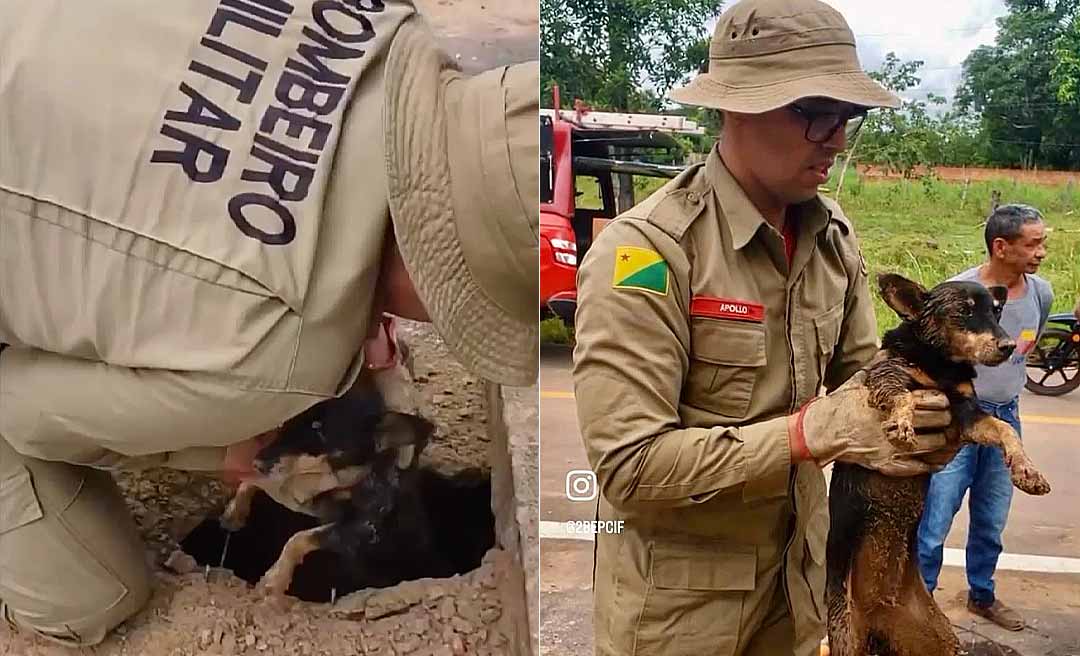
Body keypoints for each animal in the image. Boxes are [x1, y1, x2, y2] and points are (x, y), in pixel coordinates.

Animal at [820, 273, 1049, 656]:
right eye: (964, 311)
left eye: (996, 311)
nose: (1008, 346)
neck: (941, 364)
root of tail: (879, 616)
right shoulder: (888, 374)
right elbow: (902, 395)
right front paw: (901, 423)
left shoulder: (965, 413)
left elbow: (1004, 429)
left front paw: (1027, 471)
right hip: (846, 633)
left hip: (938, 638)